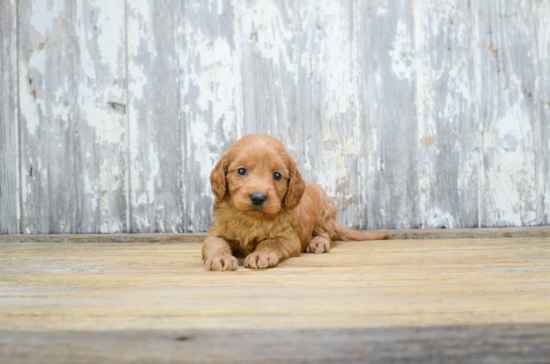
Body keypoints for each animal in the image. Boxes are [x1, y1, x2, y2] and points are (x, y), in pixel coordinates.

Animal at [203, 134, 388, 270]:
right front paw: (220, 258)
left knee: (325, 234)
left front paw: (261, 254)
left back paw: (318, 243)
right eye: (241, 171)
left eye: (277, 175)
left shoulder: (288, 238)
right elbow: (215, 243)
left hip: (324, 211)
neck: (251, 218)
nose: (258, 197)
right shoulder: (216, 232)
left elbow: (270, 242)